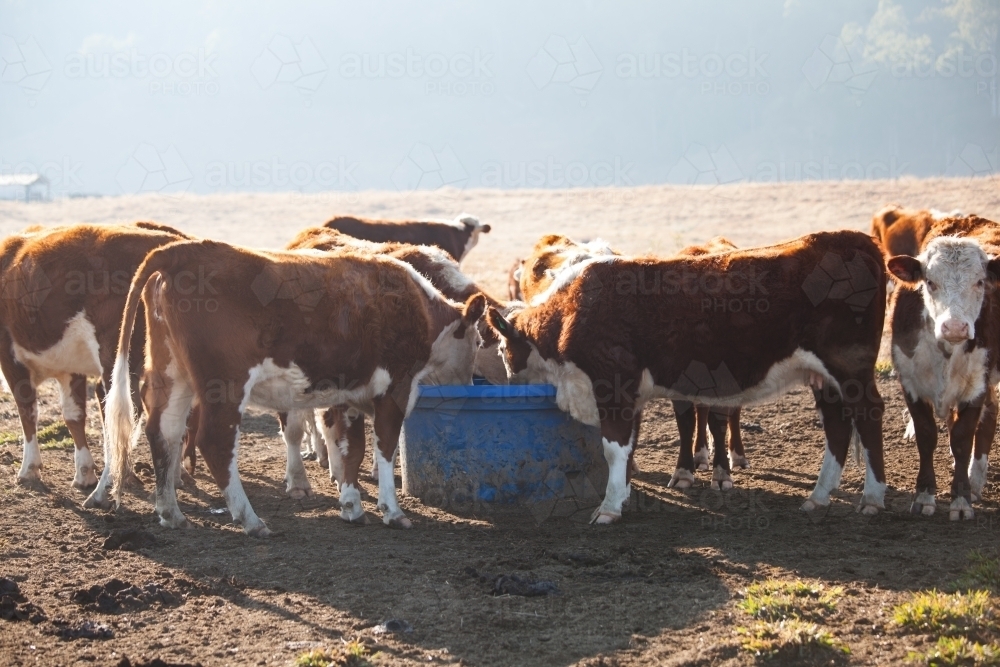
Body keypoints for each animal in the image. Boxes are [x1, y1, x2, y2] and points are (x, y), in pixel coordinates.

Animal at [0, 222, 190, 508]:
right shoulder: (70, 368)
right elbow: (74, 416)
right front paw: (84, 472)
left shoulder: (9, 356)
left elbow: (27, 410)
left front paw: (29, 469)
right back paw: (171, 480)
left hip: (117, 357)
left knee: (126, 413)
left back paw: (105, 490)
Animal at [104, 239, 486, 534]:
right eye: (479, 340)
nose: (470, 386)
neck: (418, 310)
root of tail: (181, 251)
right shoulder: (395, 391)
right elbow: (384, 448)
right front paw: (392, 512)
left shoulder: (350, 394)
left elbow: (352, 448)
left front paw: (351, 505)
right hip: (224, 384)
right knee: (214, 442)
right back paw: (250, 520)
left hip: (172, 373)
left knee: (163, 432)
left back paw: (171, 513)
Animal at [488, 230, 887, 523]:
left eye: (502, 351)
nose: (507, 388)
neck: (569, 312)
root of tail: (854, 239)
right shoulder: (631, 394)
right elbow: (629, 448)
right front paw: (626, 496)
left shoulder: (613, 385)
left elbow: (614, 448)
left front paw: (609, 507)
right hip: (824, 378)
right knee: (837, 426)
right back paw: (818, 498)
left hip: (850, 368)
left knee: (867, 415)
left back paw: (872, 497)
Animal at [886, 215, 1000, 521]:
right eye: (929, 282)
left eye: (980, 282)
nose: (955, 327)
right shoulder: (910, 382)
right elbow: (927, 435)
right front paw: (924, 496)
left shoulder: (977, 383)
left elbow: (962, 438)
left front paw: (961, 499)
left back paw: (975, 479)